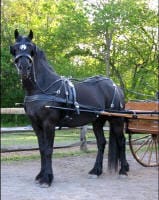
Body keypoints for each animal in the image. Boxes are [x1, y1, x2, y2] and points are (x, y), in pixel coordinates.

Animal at [9, 30, 129, 188]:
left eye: (31, 49)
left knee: (121, 141)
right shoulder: (36, 124)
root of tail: (114, 85)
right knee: (101, 143)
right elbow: (41, 148)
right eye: (15, 48)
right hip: (98, 120)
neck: (43, 88)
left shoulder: (49, 124)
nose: (24, 68)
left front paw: (47, 179)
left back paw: (123, 170)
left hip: (116, 119)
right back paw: (96, 171)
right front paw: (40, 175)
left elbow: (48, 150)